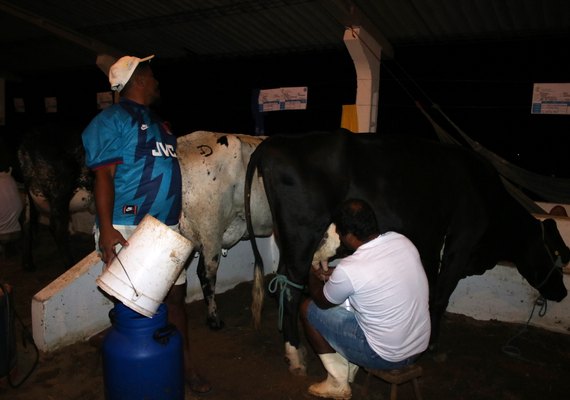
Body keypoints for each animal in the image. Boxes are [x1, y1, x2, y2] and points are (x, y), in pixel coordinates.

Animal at [242, 128, 564, 376]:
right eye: (556, 254)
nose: (562, 292)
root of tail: (280, 140)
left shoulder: (430, 240)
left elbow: (430, 286)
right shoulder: (461, 241)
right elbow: (441, 296)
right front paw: (433, 345)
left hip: (291, 239)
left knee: (283, 281)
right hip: (303, 231)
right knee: (290, 289)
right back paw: (296, 356)